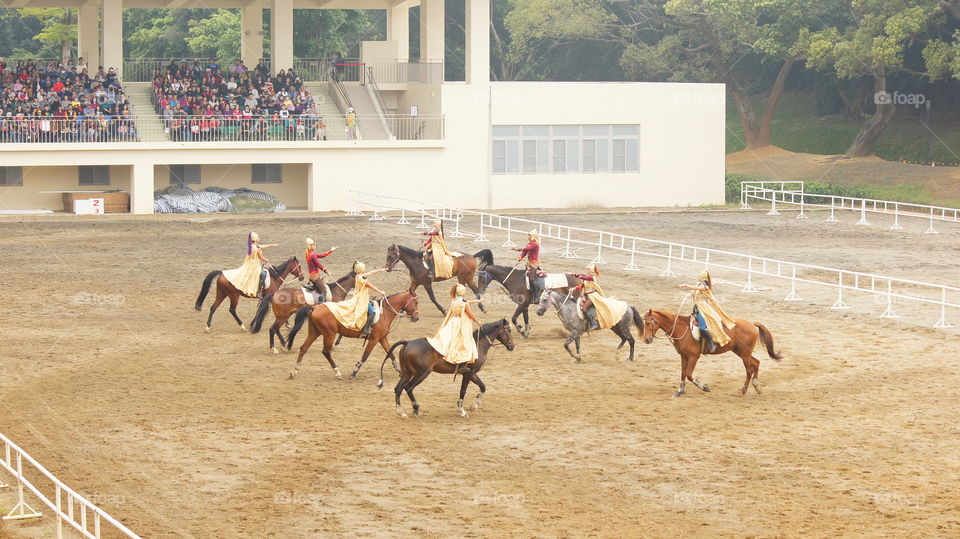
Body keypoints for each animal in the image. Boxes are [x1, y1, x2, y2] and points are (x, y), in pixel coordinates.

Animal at [286, 290, 420, 380]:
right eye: (416, 302)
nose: (417, 318)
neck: (384, 313)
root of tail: (315, 308)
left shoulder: (382, 338)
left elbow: (390, 353)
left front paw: (399, 370)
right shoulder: (374, 339)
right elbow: (365, 356)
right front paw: (354, 372)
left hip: (315, 332)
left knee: (303, 348)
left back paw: (294, 371)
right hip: (329, 334)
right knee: (326, 352)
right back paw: (337, 372)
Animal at [376, 319, 515, 418]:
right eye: (508, 330)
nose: (512, 346)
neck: (477, 344)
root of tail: (408, 342)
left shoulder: (472, 373)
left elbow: (483, 386)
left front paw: (475, 405)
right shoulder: (468, 374)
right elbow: (463, 391)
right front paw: (462, 410)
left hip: (407, 373)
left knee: (398, 389)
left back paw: (401, 412)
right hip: (422, 373)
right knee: (408, 388)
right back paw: (415, 408)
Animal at [640, 309, 782, 397]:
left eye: (648, 322)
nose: (646, 339)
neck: (682, 328)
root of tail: (752, 324)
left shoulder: (693, 357)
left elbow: (689, 374)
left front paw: (704, 387)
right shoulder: (684, 356)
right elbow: (683, 374)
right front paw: (680, 391)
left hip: (744, 354)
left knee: (749, 370)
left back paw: (743, 391)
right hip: (741, 352)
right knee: (756, 363)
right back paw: (757, 386)